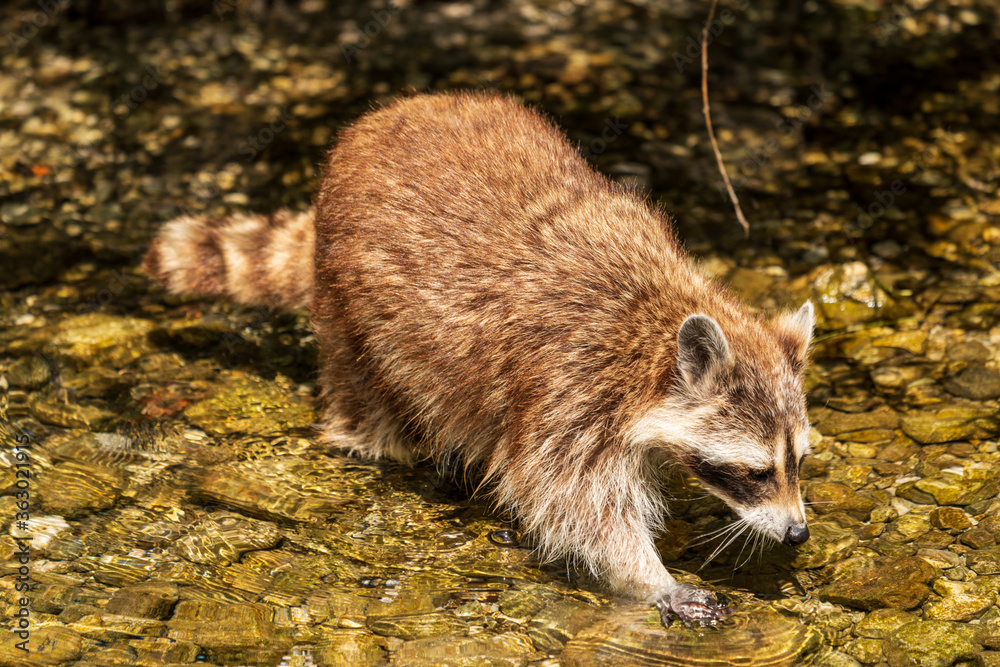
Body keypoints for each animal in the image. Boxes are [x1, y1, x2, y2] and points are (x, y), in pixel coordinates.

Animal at [145, 91, 816, 628]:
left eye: (800, 462)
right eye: (757, 472)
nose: (798, 532)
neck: (656, 320)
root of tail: (387, 115)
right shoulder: (571, 386)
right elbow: (571, 502)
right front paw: (651, 577)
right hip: (345, 303)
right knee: (366, 394)